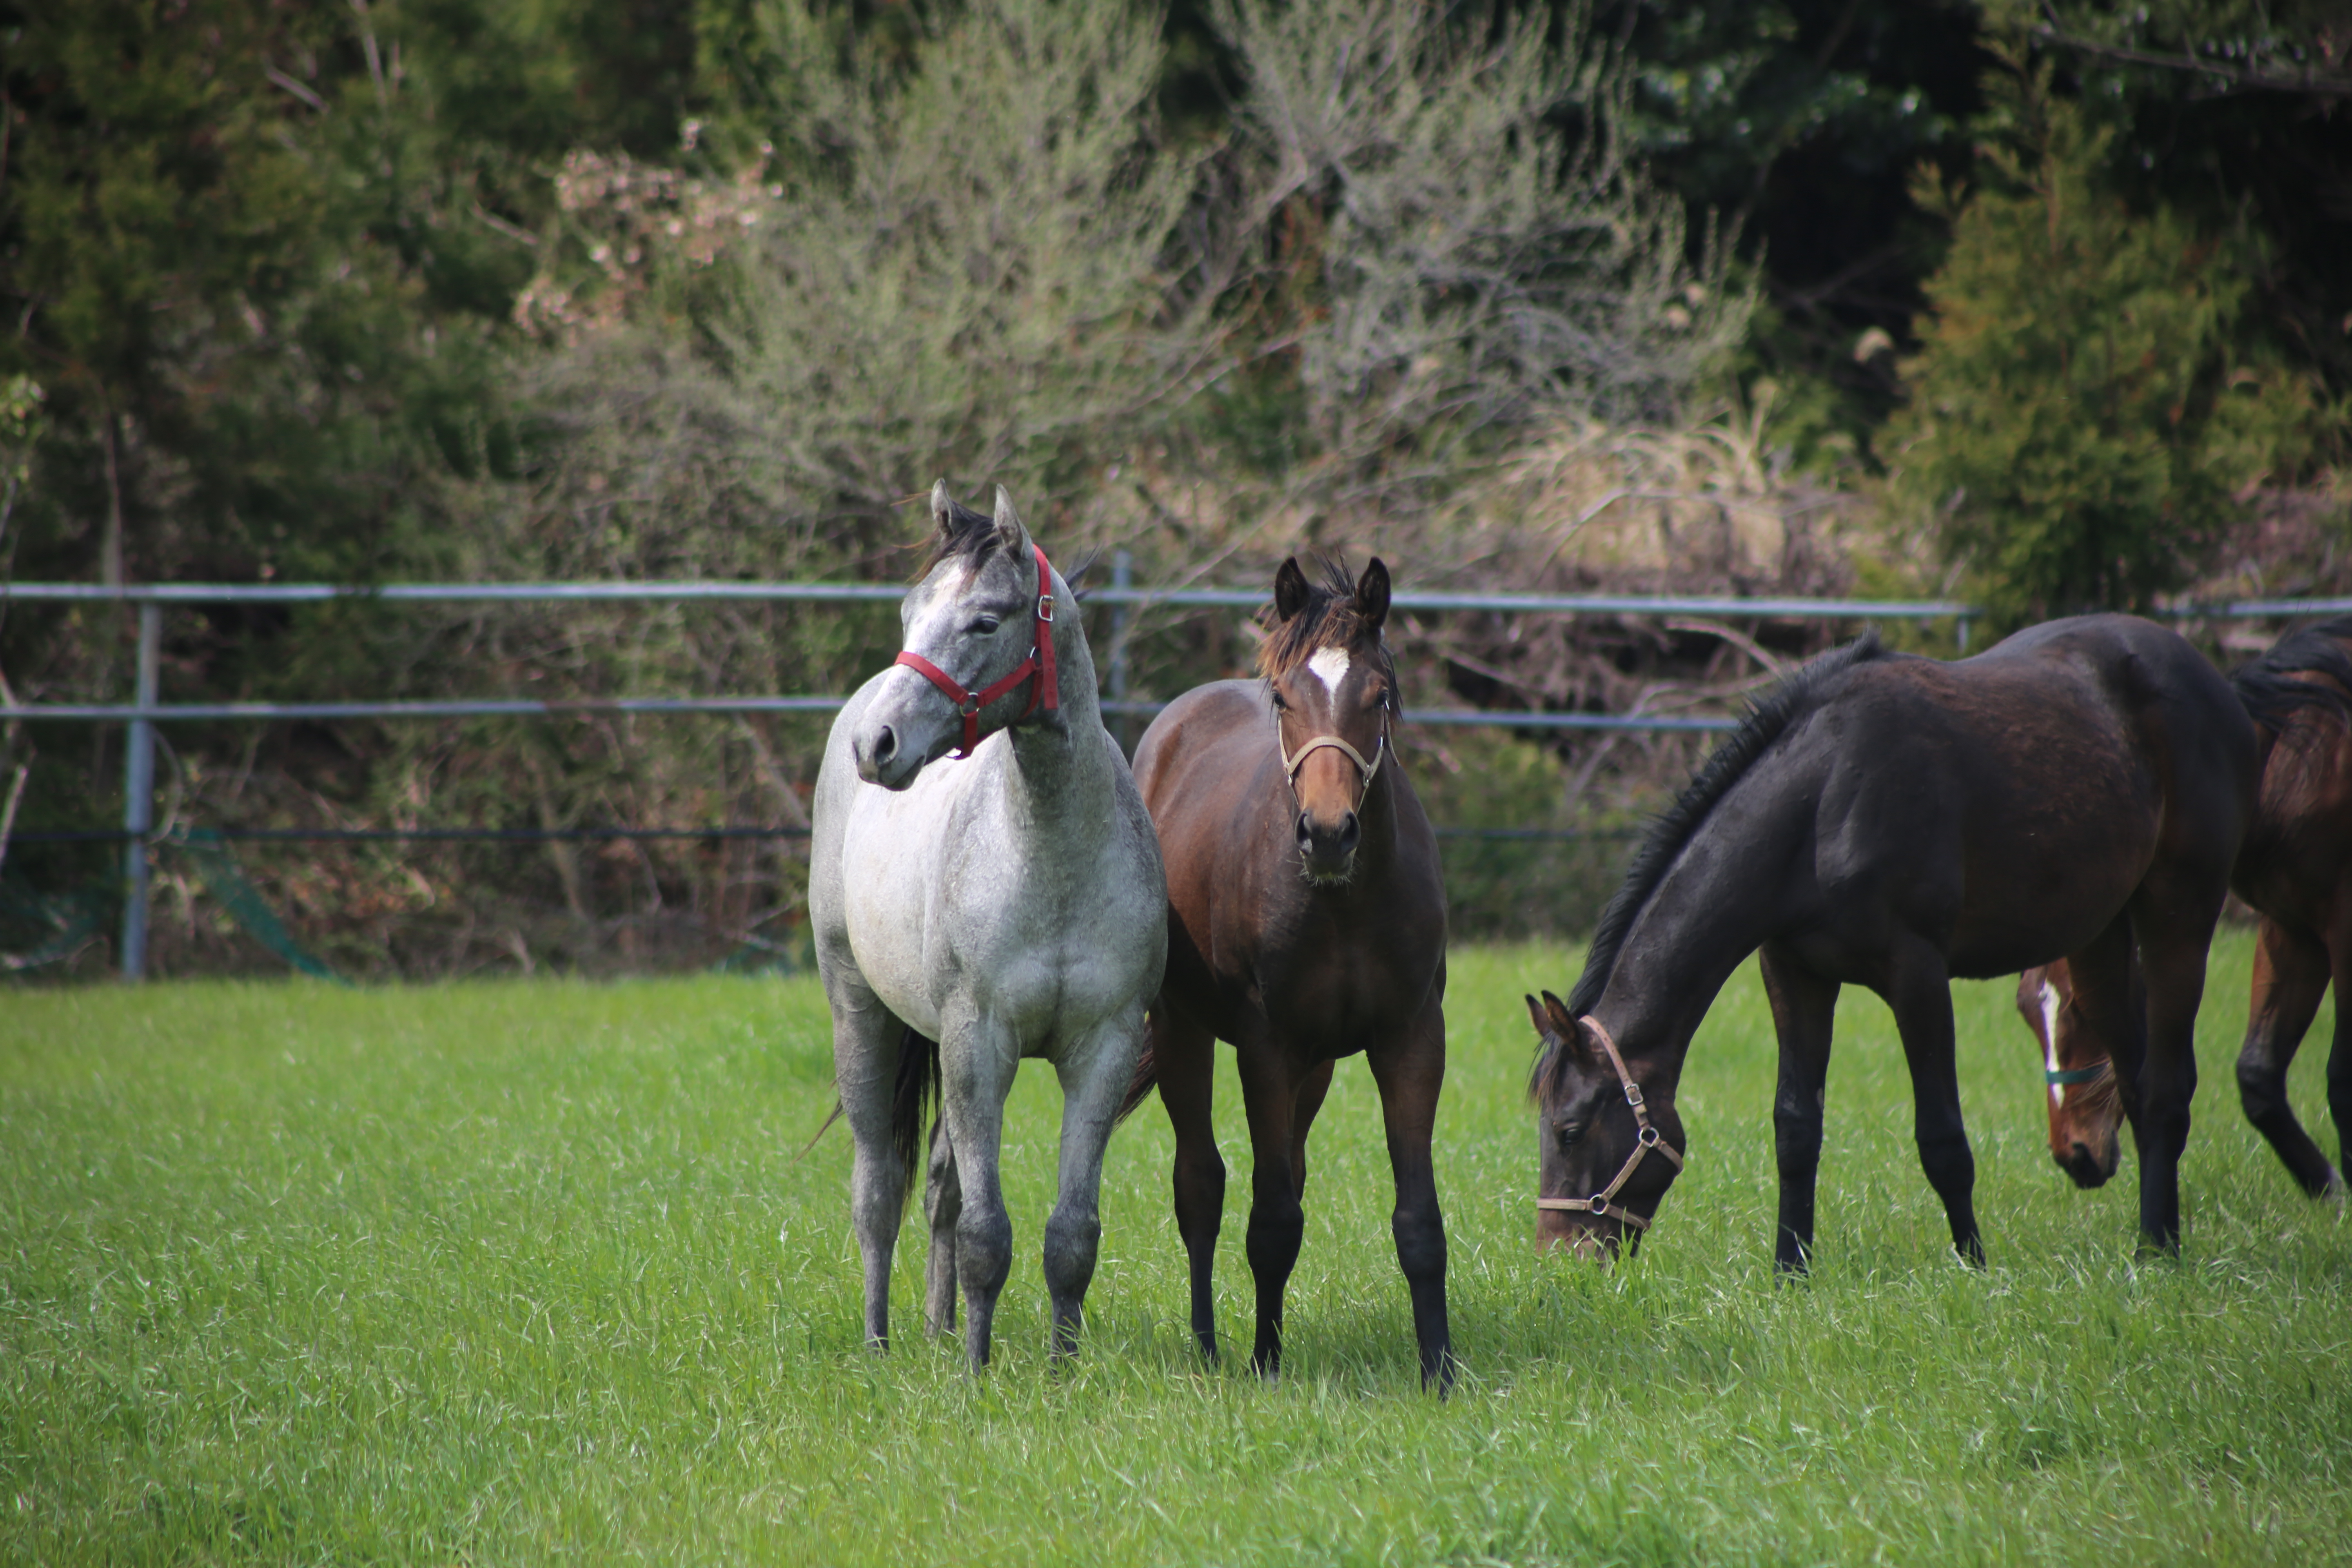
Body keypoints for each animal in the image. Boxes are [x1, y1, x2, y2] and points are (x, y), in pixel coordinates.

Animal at [813, 484, 1171, 1363]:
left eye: (984, 621)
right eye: (910, 612)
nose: (880, 744)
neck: (1052, 859)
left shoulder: (1104, 1051)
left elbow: (1070, 1235)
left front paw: (1062, 1369)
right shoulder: (981, 1044)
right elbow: (986, 1233)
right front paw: (977, 1370)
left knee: (939, 1185)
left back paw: (939, 1331)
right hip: (859, 1013)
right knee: (879, 1190)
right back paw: (880, 1344)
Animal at [1119, 557, 1449, 1392]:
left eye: (1379, 696)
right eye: (1284, 698)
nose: (1328, 834)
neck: (1344, 903)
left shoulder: (1411, 1041)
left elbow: (1416, 1220)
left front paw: (1440, 1369)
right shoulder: (1264, 1049)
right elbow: (1268, 1218)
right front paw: (1266, 1362)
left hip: (1319, 1067)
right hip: (1184, 1033)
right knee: (1200, 1186)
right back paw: (1208, 1344)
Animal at [1524, 611, 2258, 1260]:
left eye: (1569, 1130)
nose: (1561, 1257)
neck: (1823, 799)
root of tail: (2211, 681)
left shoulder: (1918, 975)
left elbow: (1943, 1139)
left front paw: (1973, 1264)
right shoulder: (1794, 974)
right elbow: (1796, 1130)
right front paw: (1791, 1272)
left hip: (2179, 914)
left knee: (2165, 1089)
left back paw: (2159, 1250)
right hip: (2100, 940)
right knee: (2133, 1080)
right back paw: (2155, 1236)